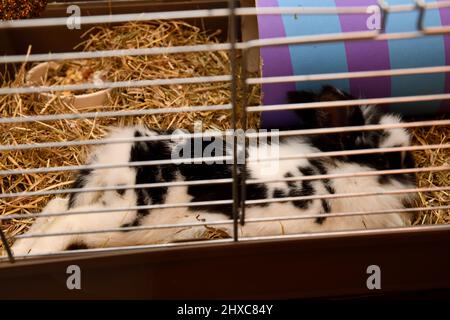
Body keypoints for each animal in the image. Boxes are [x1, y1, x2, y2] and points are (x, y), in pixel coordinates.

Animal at [10, 85, 416, 255]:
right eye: (387, 158)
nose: (413, 168)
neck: (334, 171)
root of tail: (120, 155)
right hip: (126, 220)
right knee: (69, 225)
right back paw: (33, 253)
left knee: (55, 208)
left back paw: (17, 249)